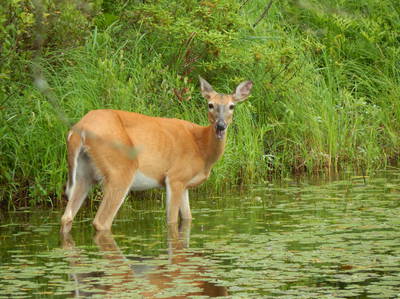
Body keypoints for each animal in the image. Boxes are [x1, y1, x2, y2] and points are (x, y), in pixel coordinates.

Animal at [60, 75, 253, 234]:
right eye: (210, 105)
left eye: (232, 106)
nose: (220, 126)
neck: (201, 147)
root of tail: (80, 128)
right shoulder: (175, 177)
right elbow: (172, 221)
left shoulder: (185, 184)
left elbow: (188, 219)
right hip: (120, 170)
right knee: (101, 221)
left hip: (84, 173)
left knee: (66, 217)